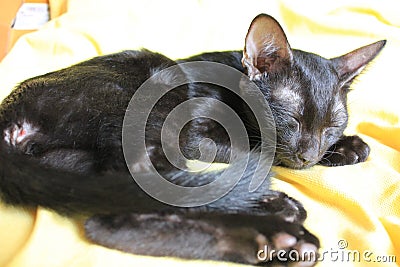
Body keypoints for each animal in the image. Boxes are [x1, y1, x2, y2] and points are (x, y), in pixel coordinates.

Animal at [0, 13, 384, 266]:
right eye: (292, 121)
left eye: (331, 127)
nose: (309, 155)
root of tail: (10, 111)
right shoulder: (198, 136)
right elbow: (261, 147)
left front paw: (346, 146)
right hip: (151, 98)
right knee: (128, 203)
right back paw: (276, 219)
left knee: (111, 209)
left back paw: (271, 235)